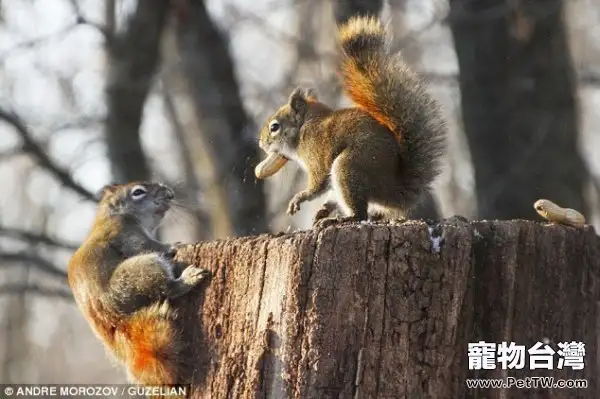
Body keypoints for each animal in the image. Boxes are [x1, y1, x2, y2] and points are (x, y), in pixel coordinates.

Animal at [66, 183, 209, 386]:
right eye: (138, 192)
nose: (170, 194)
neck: (113, 215)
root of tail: (113, 318)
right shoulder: (127, 235)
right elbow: (149, 246)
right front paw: (174, 245)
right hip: (142, 270)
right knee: (168, 289)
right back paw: (188, 278)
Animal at [253, 15, 446, 225]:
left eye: (275, 127)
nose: (262, 144)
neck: (304, 127)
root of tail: (395, 191)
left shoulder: (316, 153)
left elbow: (317, 183)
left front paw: (299, 197)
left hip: (348, 167)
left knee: (360, 213)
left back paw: (341, 219)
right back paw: (326, 212)